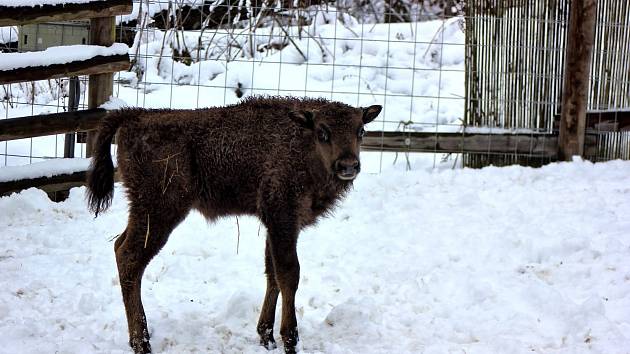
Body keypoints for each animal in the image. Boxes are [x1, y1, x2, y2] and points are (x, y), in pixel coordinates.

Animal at [86, 95, 382, 352]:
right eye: (323, 132)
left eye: (361, 131)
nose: (348, 166)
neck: (301, 142)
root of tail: (135, 116)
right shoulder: (283, 219)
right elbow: (289, 275)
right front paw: (290, 340)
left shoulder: (276, 225)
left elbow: (272, 274)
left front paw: (266, 337)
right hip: (158, 213)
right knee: (130, 258)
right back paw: (142, 342)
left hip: (143, 212)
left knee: (120, 246)